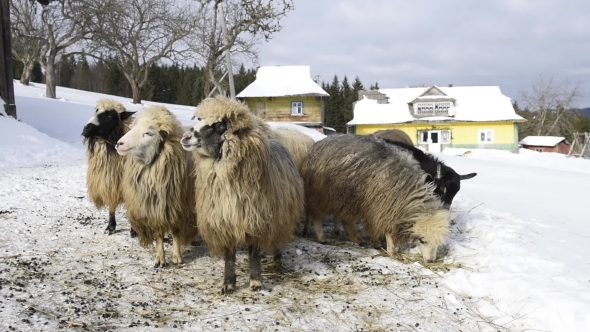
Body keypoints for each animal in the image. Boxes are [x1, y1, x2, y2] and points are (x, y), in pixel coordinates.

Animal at [81, 98, 137, 236]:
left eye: (111, 116)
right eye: (96, 110)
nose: (86, 128)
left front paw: (134, 231)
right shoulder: (110, 182)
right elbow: (111, 206)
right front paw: (111, 227)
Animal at [115, 105, 199, 268]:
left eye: (149, 132)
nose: (119, 144)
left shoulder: (178, 207)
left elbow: (176, 232)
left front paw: (177, 257)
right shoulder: (154, 208)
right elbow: (159, 234)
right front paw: (160, 259)